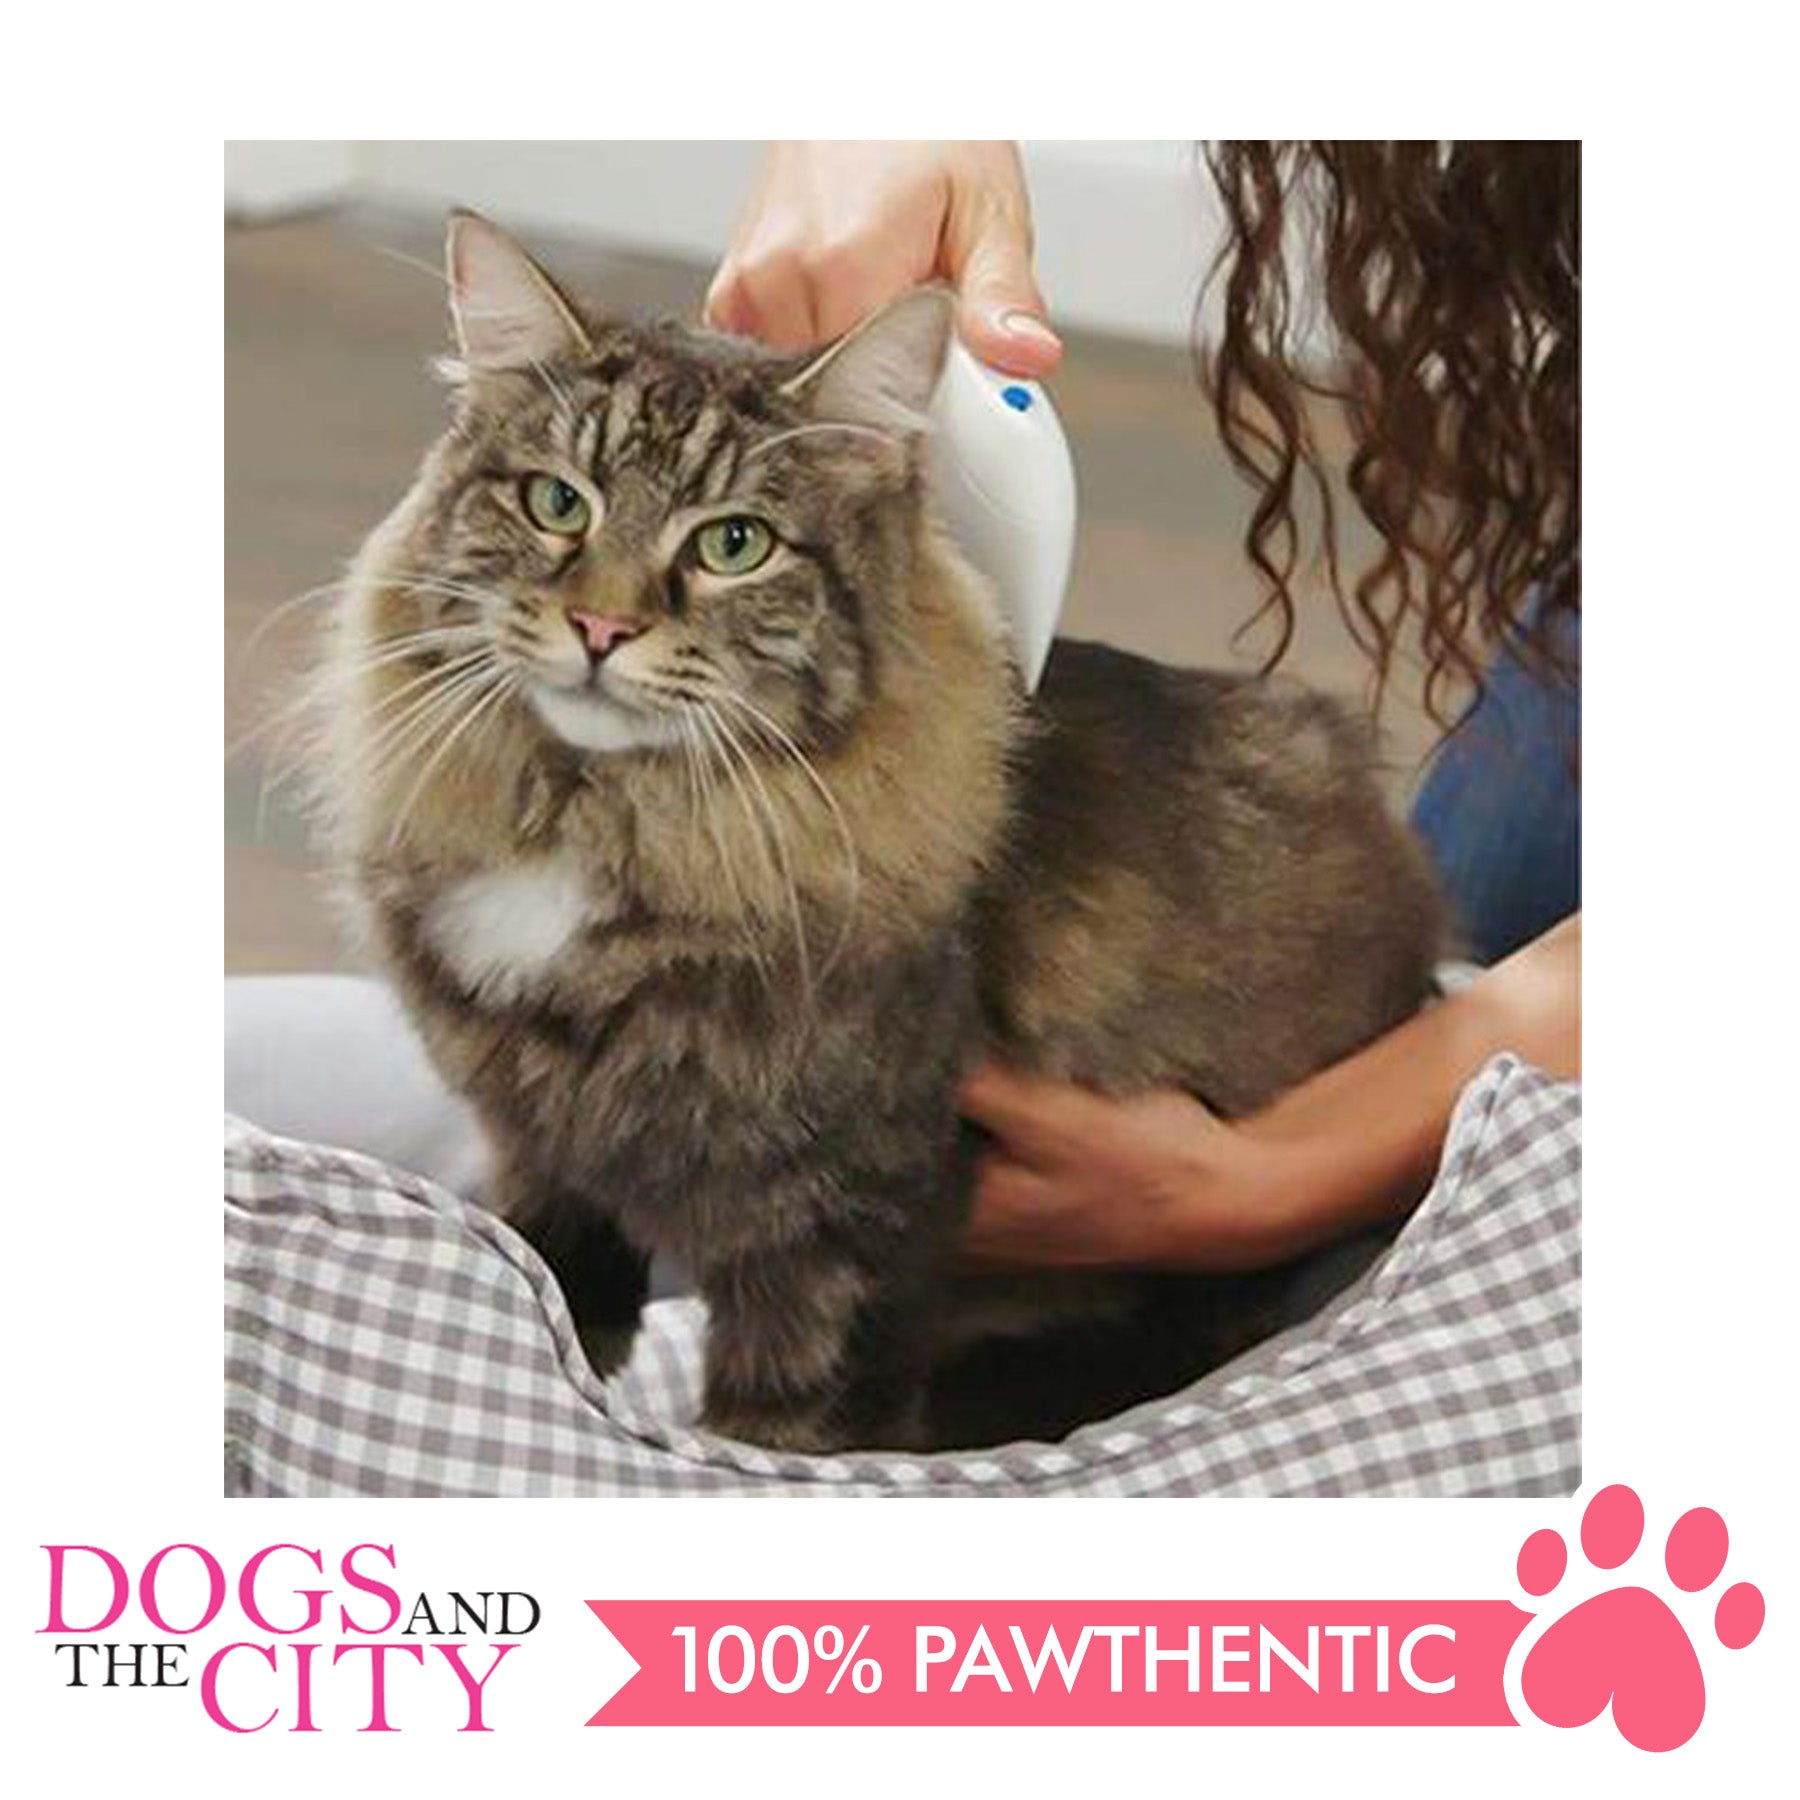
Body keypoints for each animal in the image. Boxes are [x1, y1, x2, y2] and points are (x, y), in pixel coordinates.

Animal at [312, 211, 1444, 1455]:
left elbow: (776, 1433)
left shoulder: (842, 1227)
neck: (613, 826)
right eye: (558, 504)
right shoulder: (545, 1155)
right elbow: (552, 1313)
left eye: (735, 544)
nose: (600, 627)